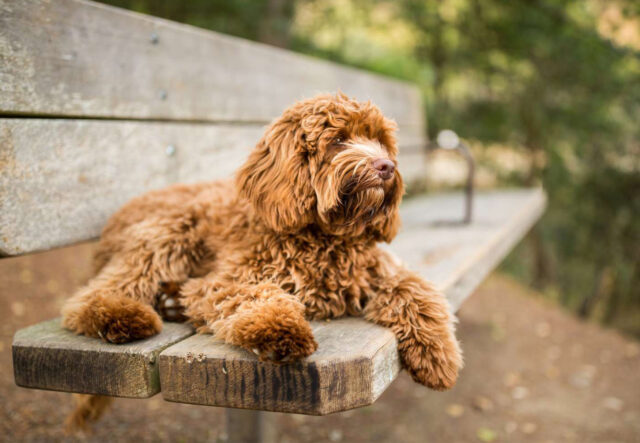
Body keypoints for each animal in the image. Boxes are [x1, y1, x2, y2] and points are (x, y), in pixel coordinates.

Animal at [61, 94, 460, 430]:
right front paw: (280, 329)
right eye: (338, 140)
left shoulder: (379, 271)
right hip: (170, 229)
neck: (326, 237)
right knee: (91, 295)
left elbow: (416, 291)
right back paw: (121, 315)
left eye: (380, 140)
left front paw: (438, 354)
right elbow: (256, 296)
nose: (387, 165)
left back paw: (170, 302)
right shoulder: (227, 279)